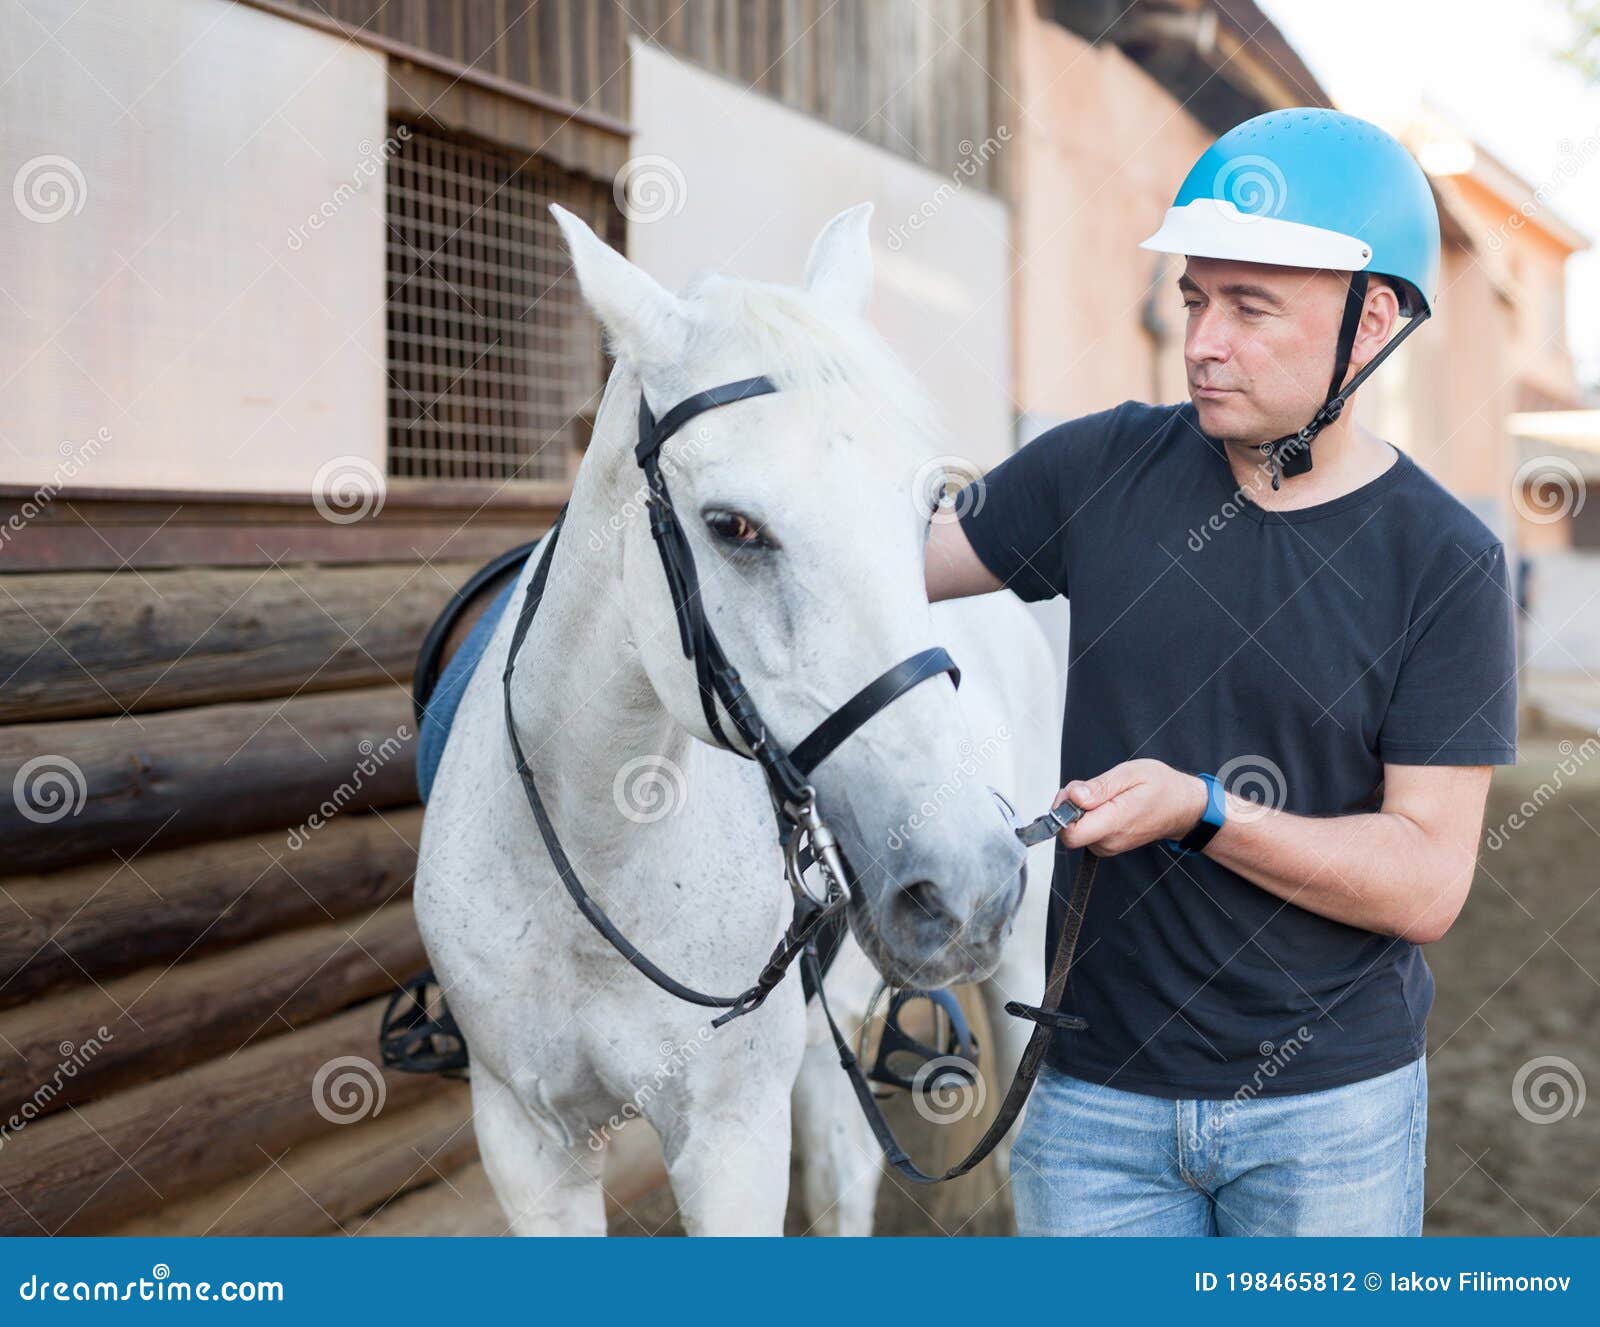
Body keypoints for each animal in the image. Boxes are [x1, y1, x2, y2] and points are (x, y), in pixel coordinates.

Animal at [416, 201, 1049, 1235]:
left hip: (1019, 965)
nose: (965, 881)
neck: (598, 850)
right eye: (732, 527)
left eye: (928, 510)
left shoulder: (728, 1139)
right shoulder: (527, 1142)